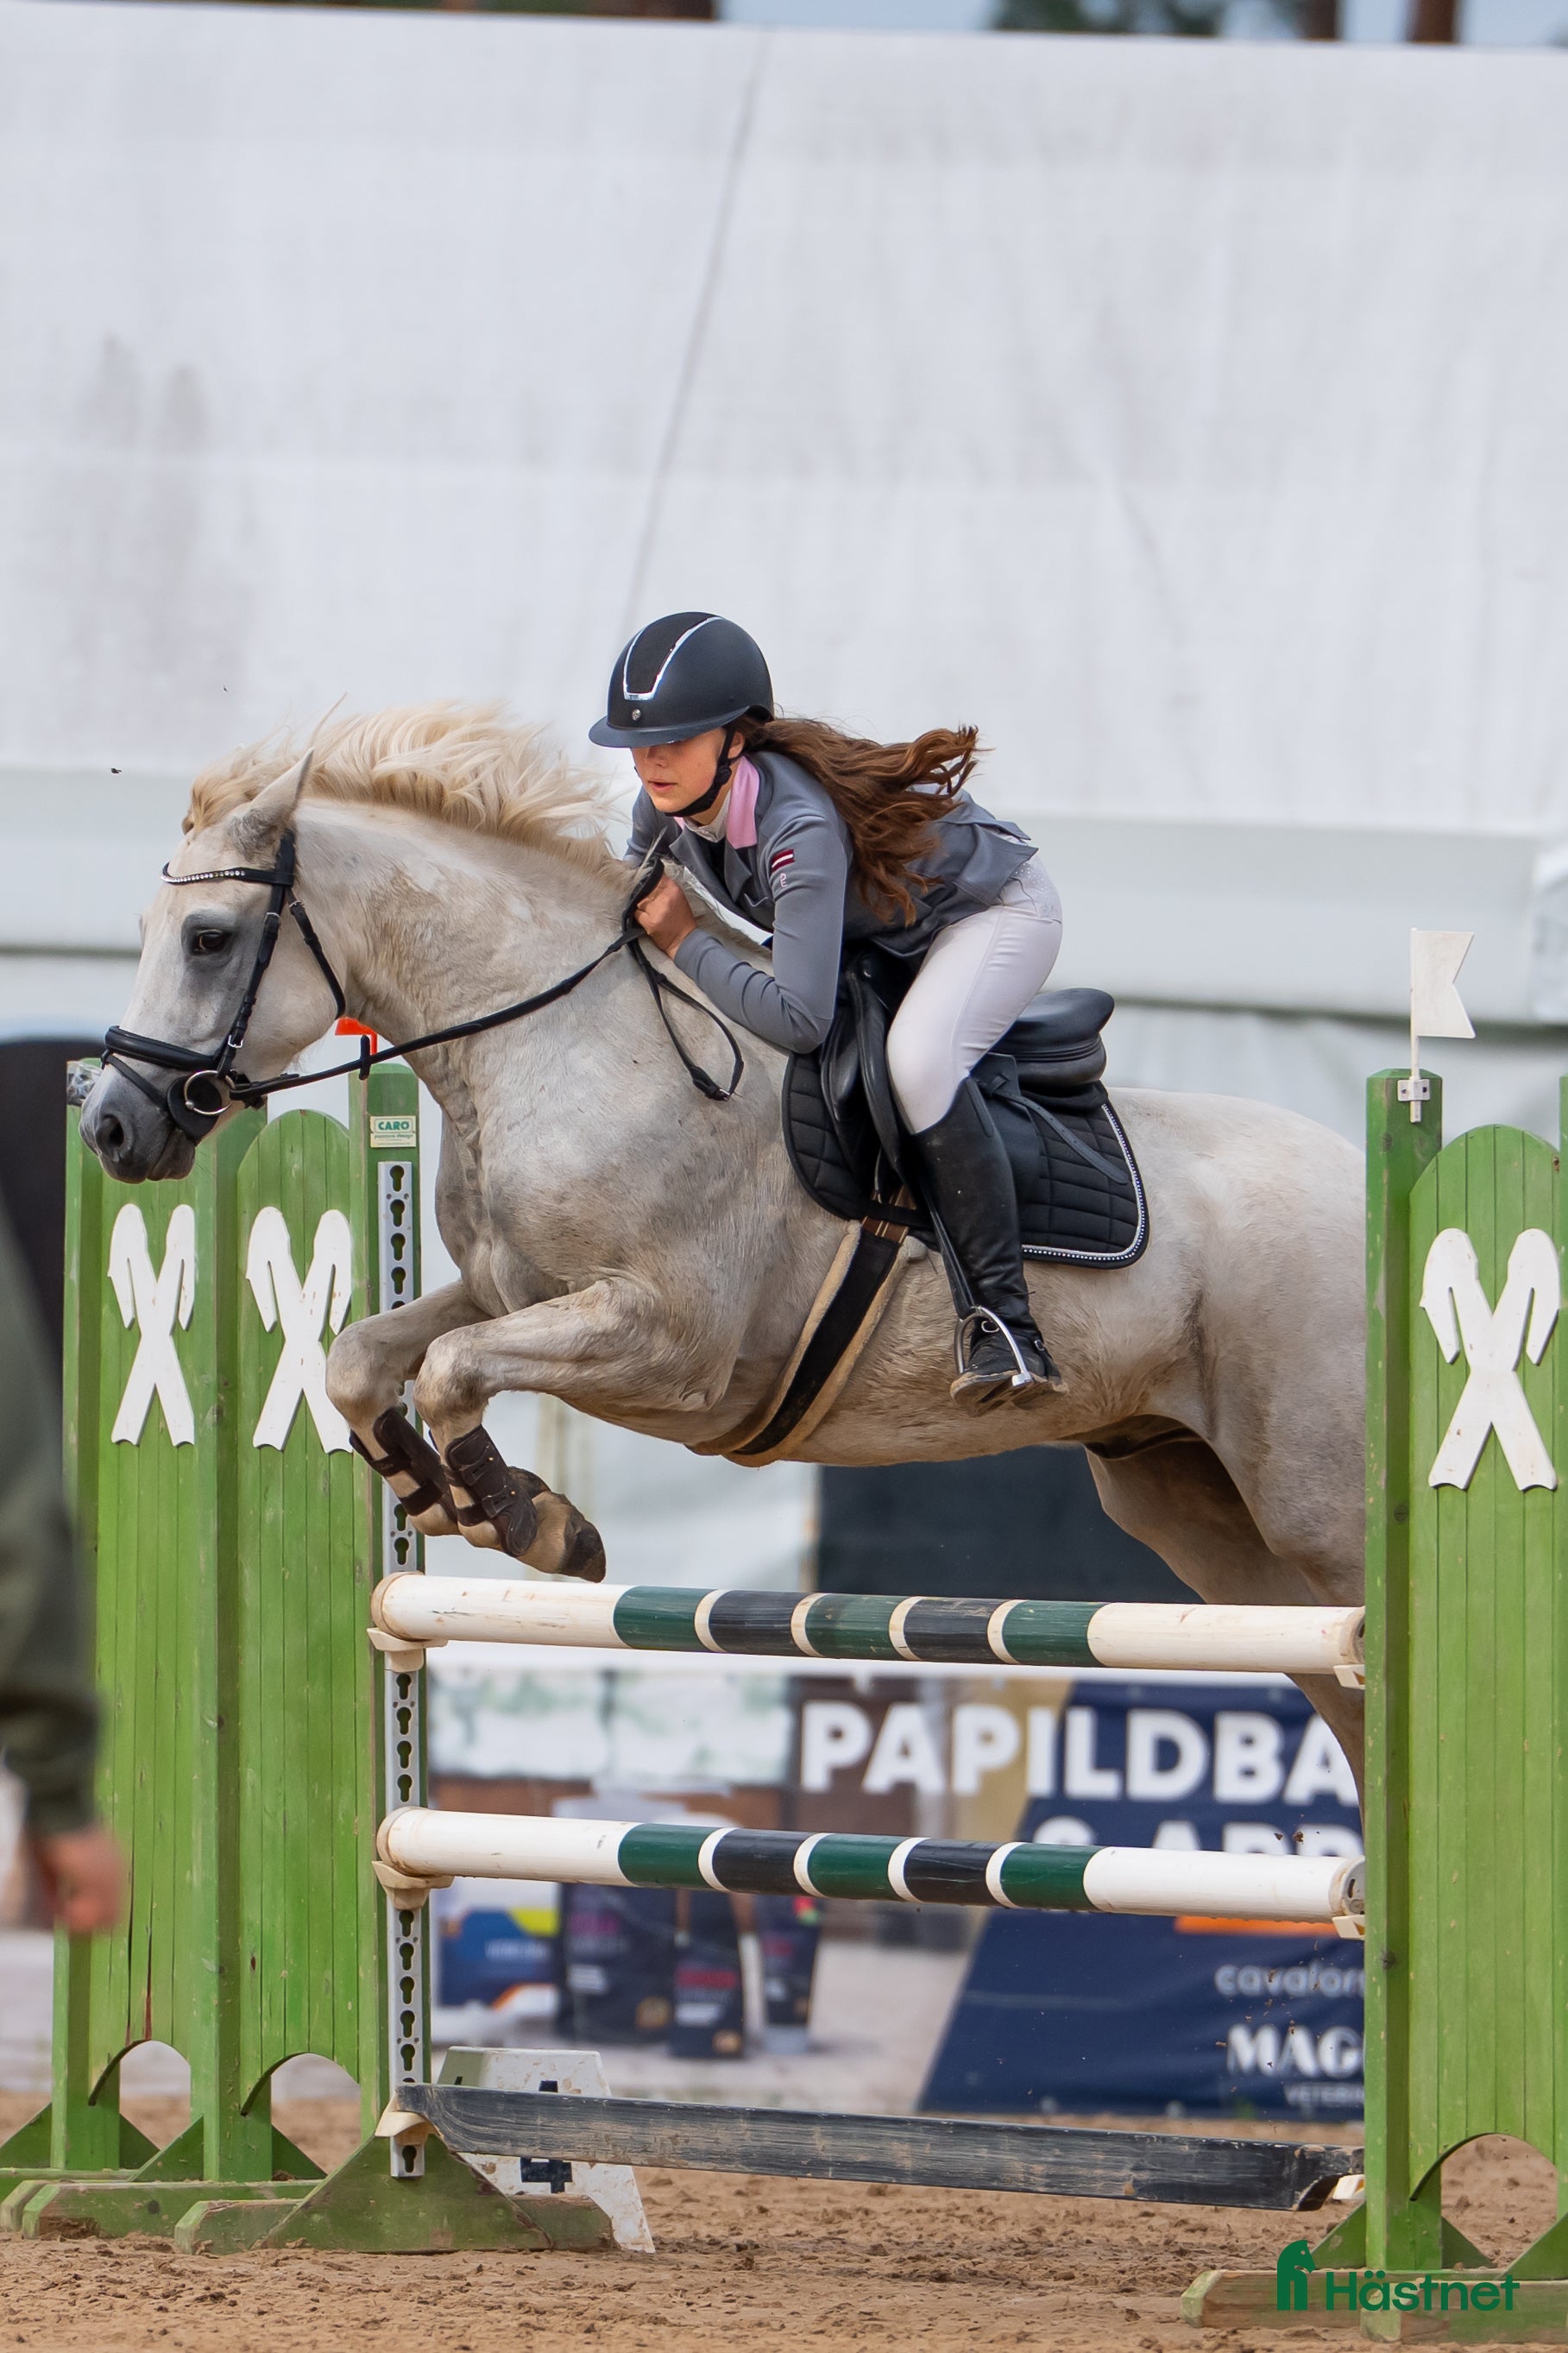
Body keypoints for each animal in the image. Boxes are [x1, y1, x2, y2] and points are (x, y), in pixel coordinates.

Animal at [79, 707, 1369, 1776]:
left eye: (207, 937)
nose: (111, 1126)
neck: (560, 1042)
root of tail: (1367, 1182)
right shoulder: (508, 1287)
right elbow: (365, 1358)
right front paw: (431, 1489)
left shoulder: (671, 1347)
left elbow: (449, 1371)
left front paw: (532, 1521)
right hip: (1198, 1512)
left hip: (1313, 1508)